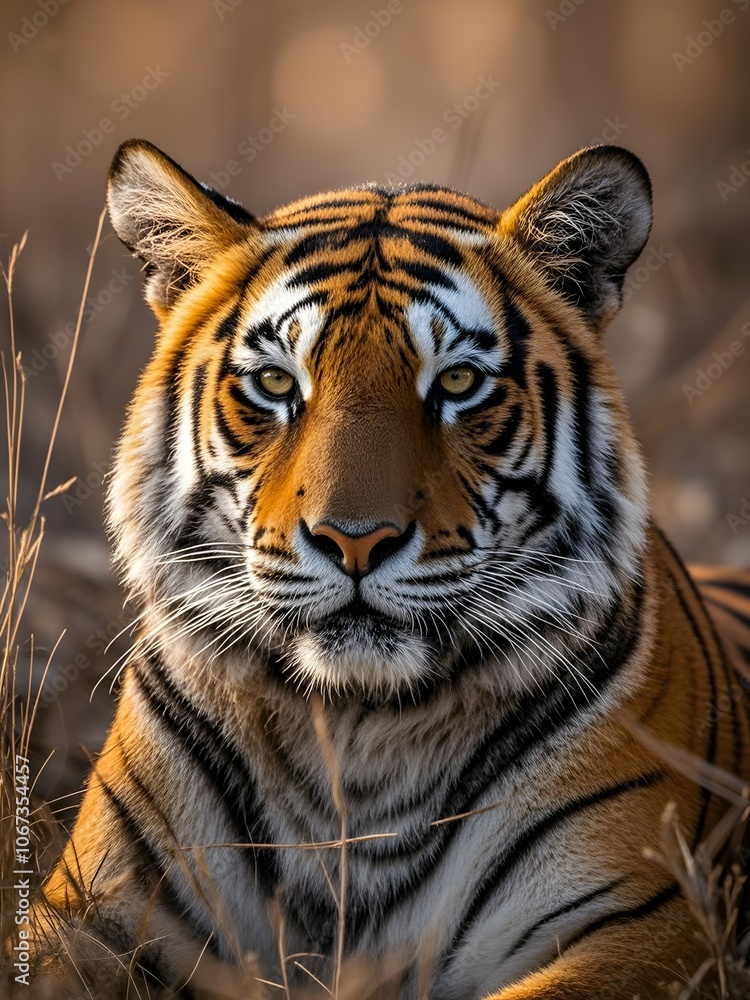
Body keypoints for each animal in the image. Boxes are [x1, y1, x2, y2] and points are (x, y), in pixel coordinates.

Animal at [37, 138, 750, 999]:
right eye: (276, 382)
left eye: (458, 382)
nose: (354, 541)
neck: (357, 735)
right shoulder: (91, 908)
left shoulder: (645, 929)